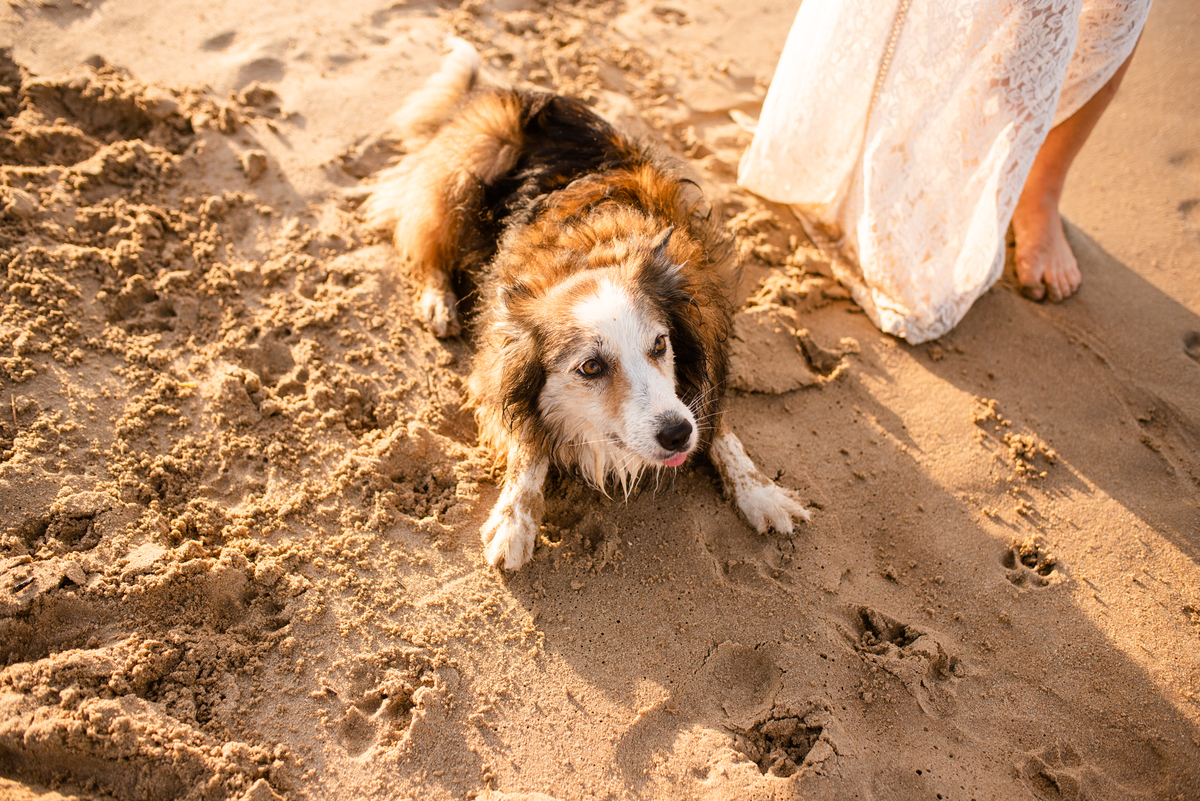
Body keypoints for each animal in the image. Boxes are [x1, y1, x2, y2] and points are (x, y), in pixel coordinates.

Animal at [363, 39, 810, 570]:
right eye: (591, 367)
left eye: (660, 345)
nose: (677, 435)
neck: (596, 249)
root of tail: (497, 89)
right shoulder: (497, 366)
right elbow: (528, 446)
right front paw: (514, 522)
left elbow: (720, 427)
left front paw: (761, 493)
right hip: (469, 165)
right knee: (424, 242)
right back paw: (438, 301)